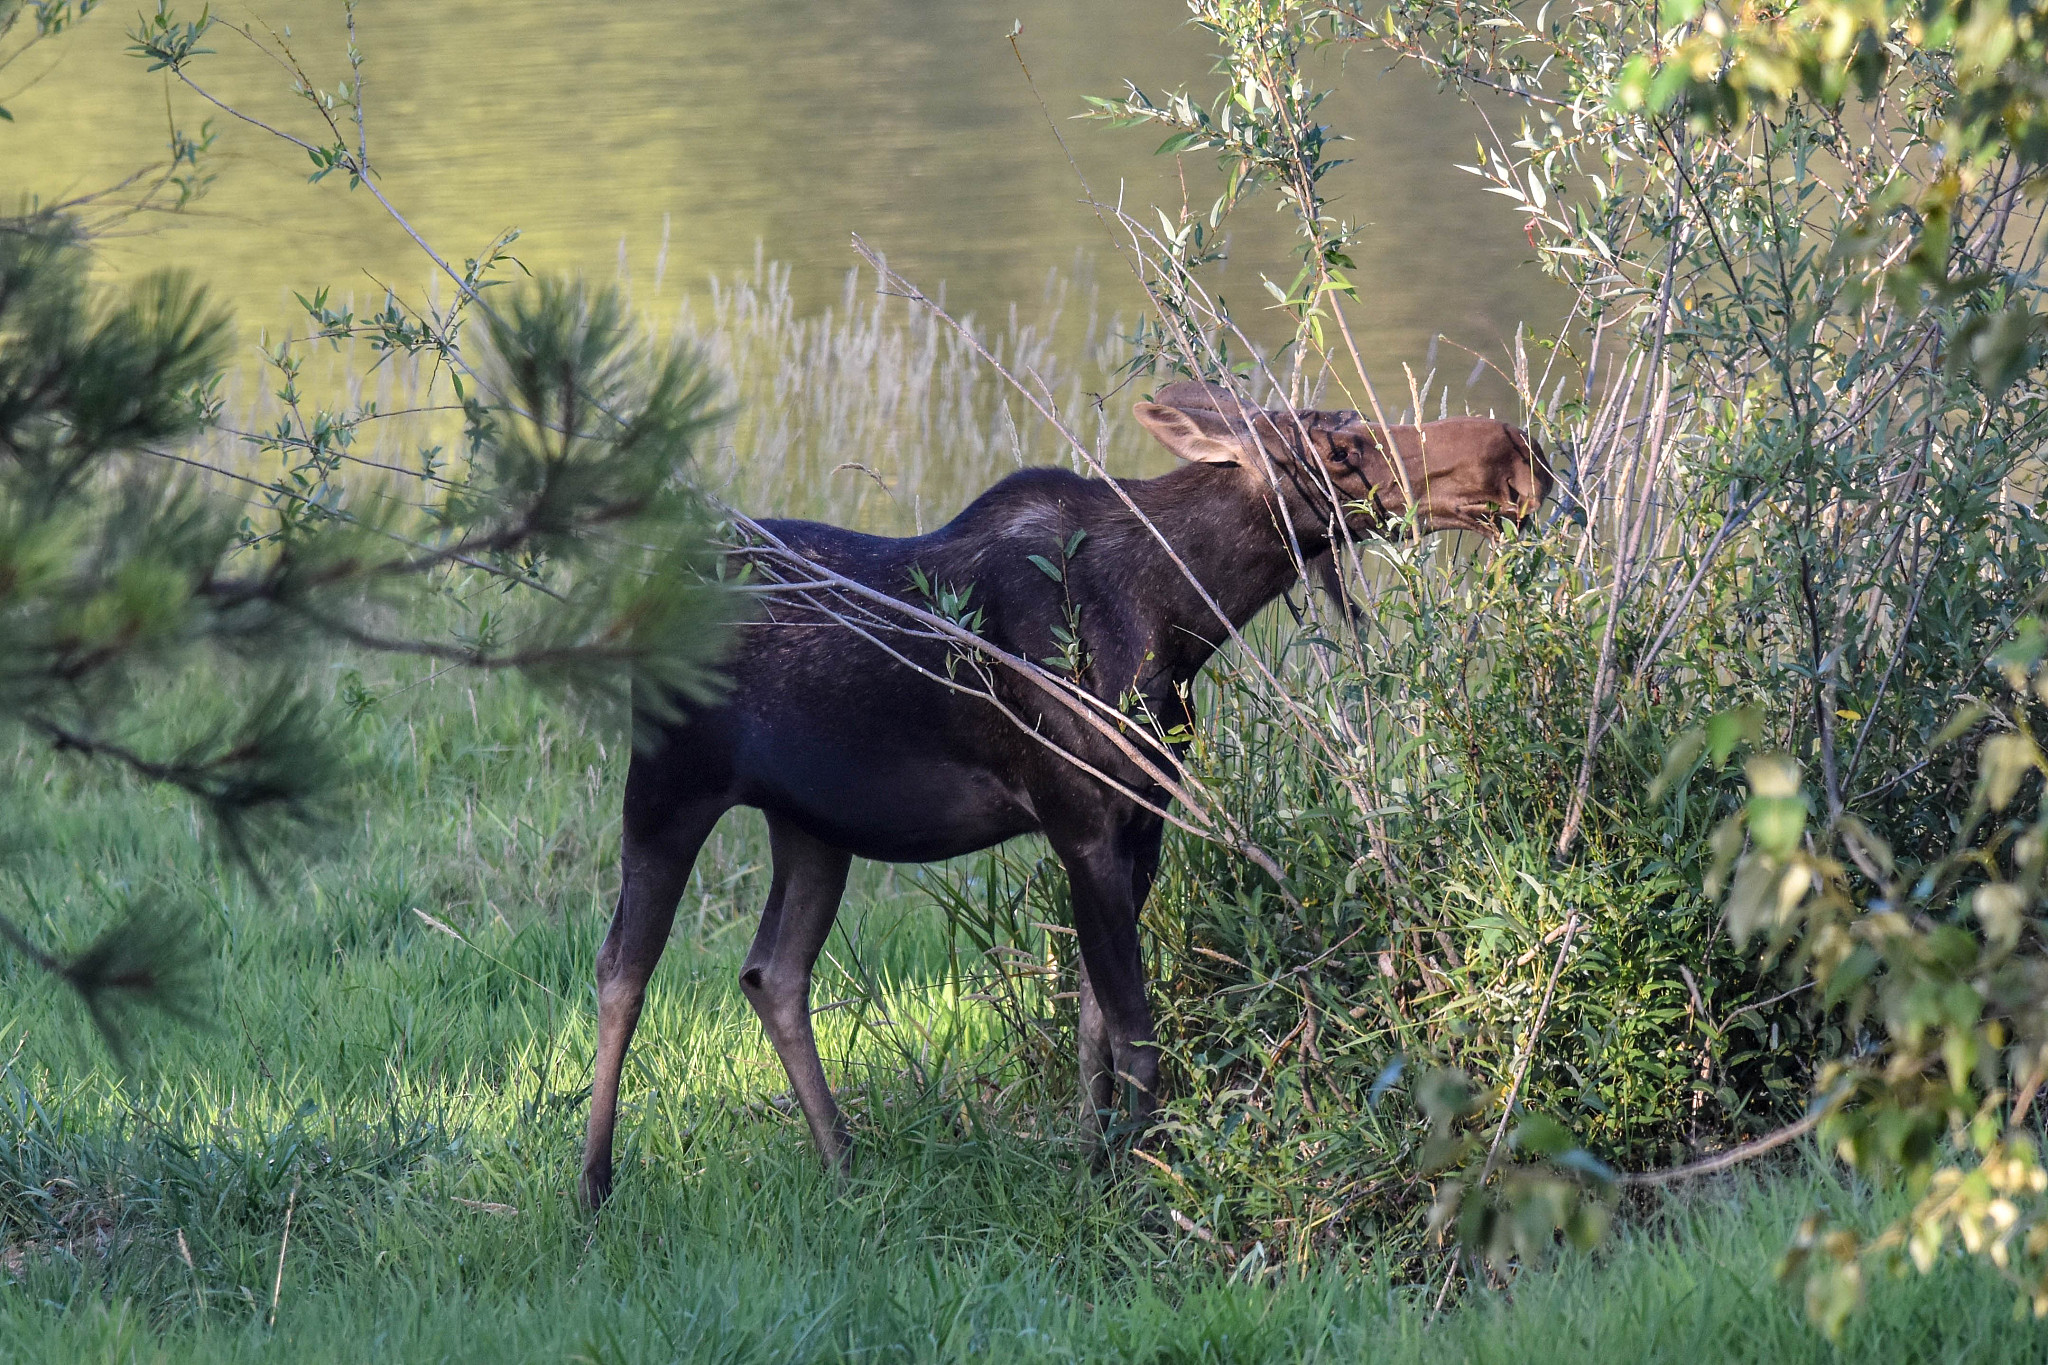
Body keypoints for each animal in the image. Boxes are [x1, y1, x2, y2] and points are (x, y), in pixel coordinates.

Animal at [578, 379, 1550, 1210]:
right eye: (1342, 447)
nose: (1517, 453)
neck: (1182, 621)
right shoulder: (1080, 822)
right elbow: (1137, 1036)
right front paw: (1144, 1185)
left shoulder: (1143, 826)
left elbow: (1093, 1027)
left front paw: (1095, 1163)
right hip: (668, 785)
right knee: (623, 967)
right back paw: (593, 1186)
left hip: (813, 821)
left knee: (772, 972)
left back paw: (844, 1164)